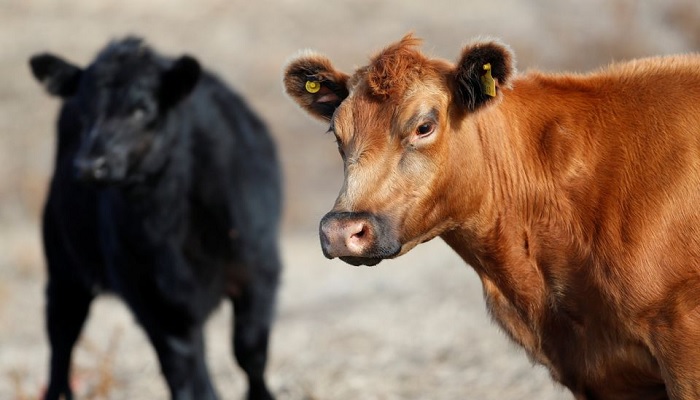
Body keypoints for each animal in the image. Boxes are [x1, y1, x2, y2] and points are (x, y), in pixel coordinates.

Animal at [30, 37, 282, 400]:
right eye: (83, 111)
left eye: (142, 108)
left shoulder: (258, 272)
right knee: (62, 337)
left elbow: (250, 351)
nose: (91, 166)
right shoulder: (151, 296)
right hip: (64, 269)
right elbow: (181, 367)